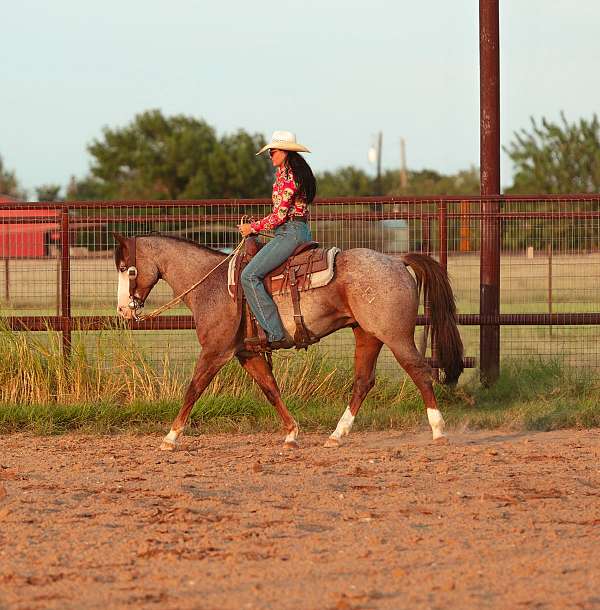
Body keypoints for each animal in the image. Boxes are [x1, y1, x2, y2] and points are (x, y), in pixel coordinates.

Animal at [116, 232, 464, 446]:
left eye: (127, 270)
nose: (123, 310)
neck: (211, 284)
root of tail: (396, 261)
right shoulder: (247, 354)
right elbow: (270, 389)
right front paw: (292, 433)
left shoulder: (215, 351)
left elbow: (194, 389)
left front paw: (170, 437)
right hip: (367, 335)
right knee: (363, 382)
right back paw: (336, 435)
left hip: (395, 335)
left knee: (419, 371)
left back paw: (438, 431)